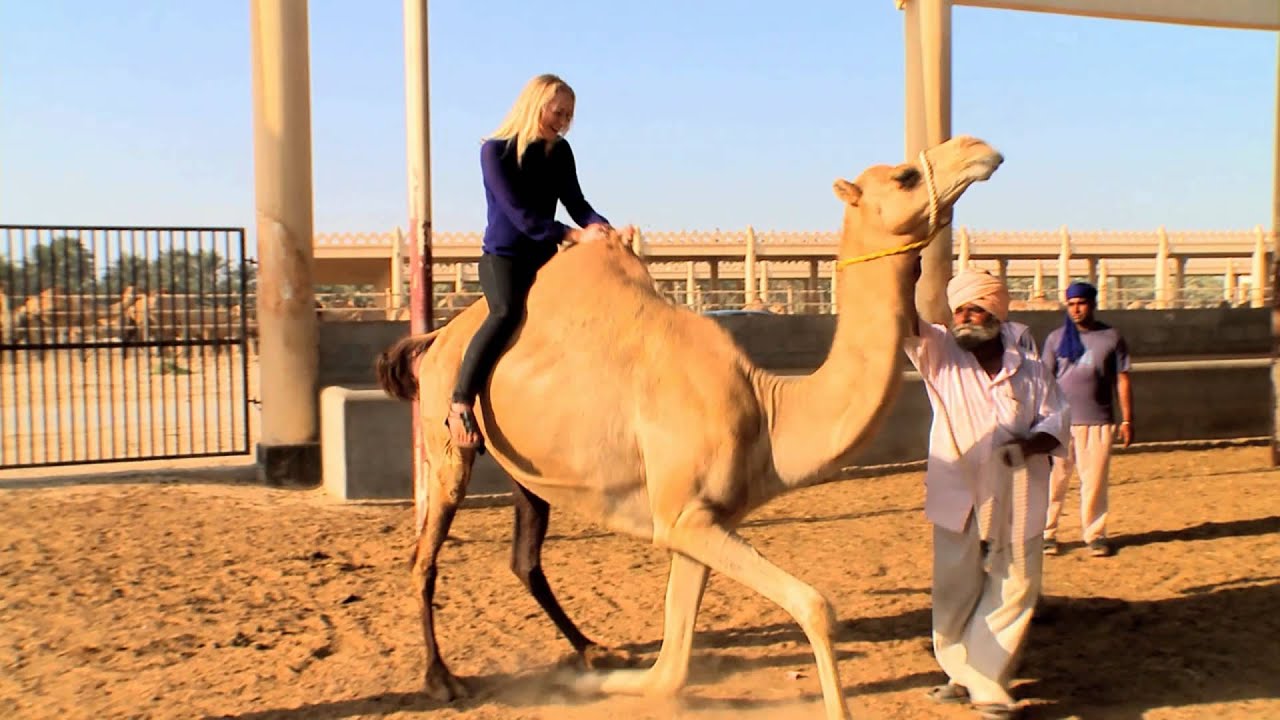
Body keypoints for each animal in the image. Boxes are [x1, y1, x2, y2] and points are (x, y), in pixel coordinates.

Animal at [375, 135, 1004, 719]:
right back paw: (443, 679)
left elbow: (671, 668)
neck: (769, 411)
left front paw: (595, 685)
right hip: (446, 442)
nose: (977, 148)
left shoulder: (702, 518)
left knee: (525, 558)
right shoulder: (682, 517)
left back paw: (592, 652)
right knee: (425, 553)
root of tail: (436, 339)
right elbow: (817, 608)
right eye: (903, 176)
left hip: (527, 466)